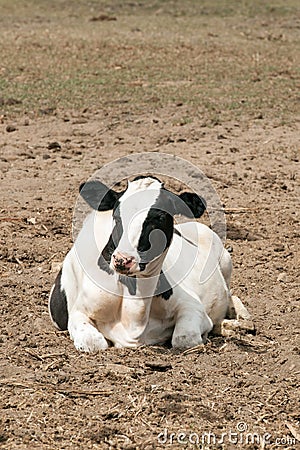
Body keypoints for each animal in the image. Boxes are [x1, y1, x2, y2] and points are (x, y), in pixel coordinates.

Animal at [49, 175, 245, 352]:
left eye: (159, 218)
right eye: (117, 215)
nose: (122, 259)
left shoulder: (193, 307)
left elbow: (185, 339)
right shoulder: (78, 312)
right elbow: (94, 343)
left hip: (226, 261)